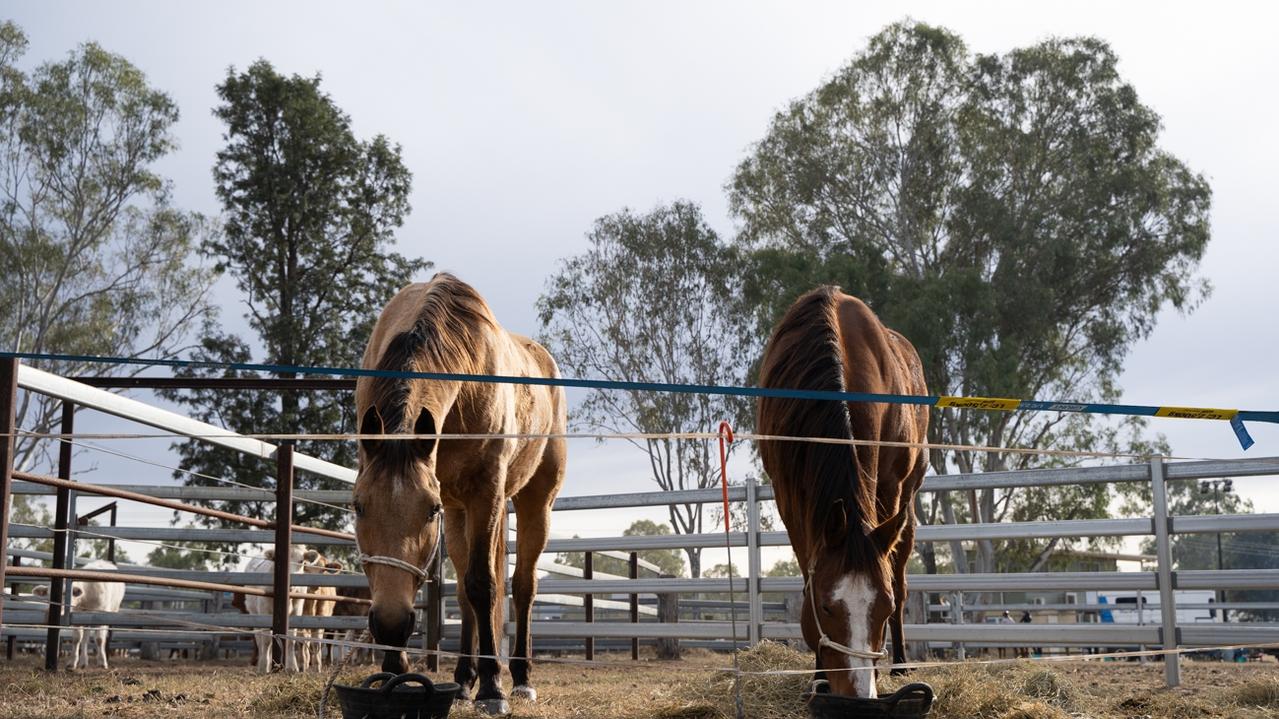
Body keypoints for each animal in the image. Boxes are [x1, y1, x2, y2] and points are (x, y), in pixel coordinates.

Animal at [243, 542, 318, 670]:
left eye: (301, 561)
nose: (291, 584)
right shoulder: (265, 612)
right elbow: (267, 640)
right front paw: (264, 666)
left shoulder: (296, 612)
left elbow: (291, 640)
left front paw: (292, 667)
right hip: (254, 613)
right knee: (260, 639)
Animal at [353, 272, 567, 711]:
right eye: (358, 507)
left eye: (428, 510)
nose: (391, 624)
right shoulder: (455, 504)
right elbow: (464, 589)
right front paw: (394, 672)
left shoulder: (485, 492)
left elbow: (484, 584)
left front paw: (493, 688)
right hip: (461, 512)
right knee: (467, 595)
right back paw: (465, 678)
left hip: (534, 502)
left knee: (523, 585)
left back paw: (519, 678)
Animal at [757, 284, 931, 695]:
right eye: (825, 607)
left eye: (883, 607)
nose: (858, 692)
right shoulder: (787, 492)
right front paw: (818, 676)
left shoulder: (887, 487)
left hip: (906, 499)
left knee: (901, 574)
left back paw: (901, 663)